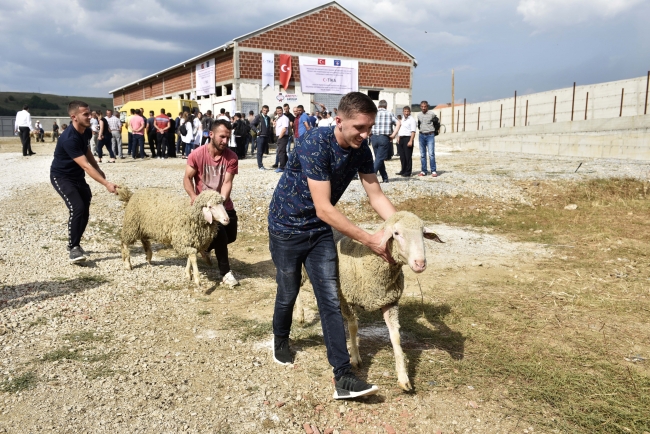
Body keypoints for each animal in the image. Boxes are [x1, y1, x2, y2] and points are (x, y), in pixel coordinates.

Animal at [294, 212, 440, 392]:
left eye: (423, 233)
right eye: (396, 233)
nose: (420, 264)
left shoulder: (389, 302)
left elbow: (396, 337)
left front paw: (403, 378)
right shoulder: (347, 299)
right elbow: (353, 327)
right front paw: (355, 357)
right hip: (302, 267)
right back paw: (300, 315)